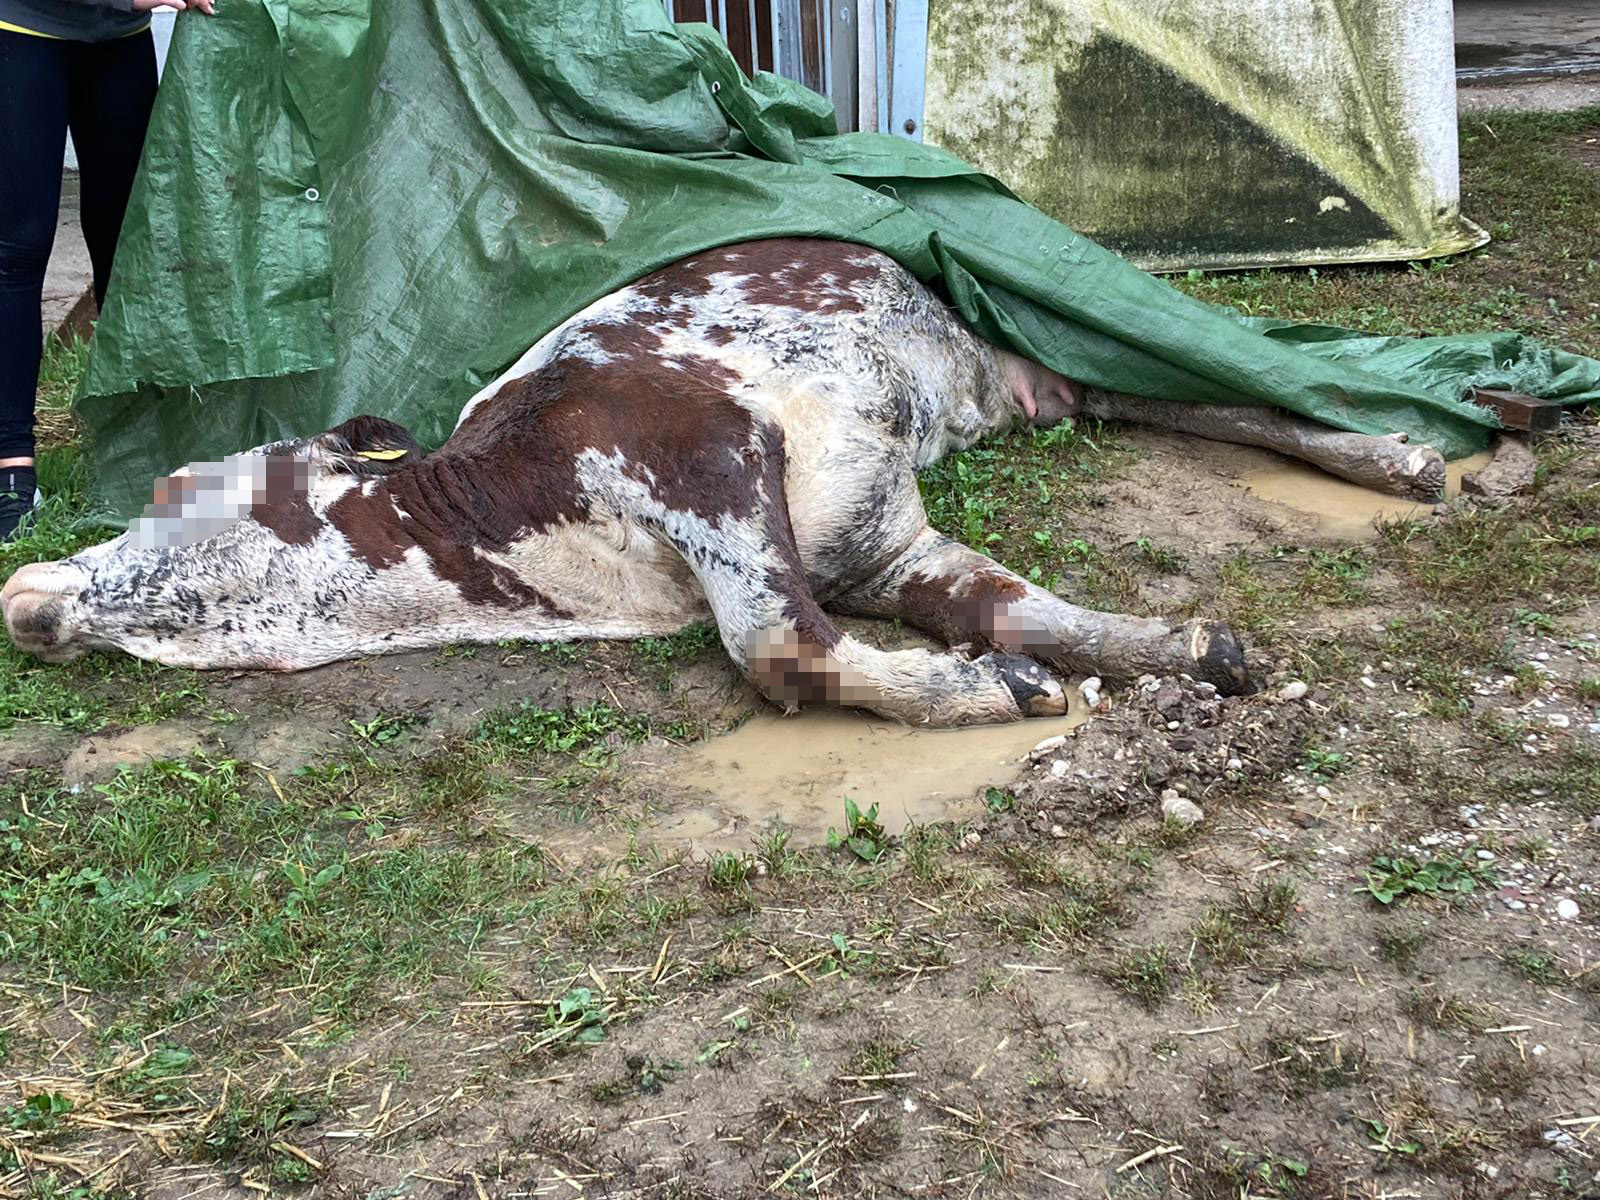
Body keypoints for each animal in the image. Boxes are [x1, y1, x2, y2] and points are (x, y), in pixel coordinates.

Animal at [2, 239, 1447, 727]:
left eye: (175, 483)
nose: (23, 597)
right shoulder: (878, 542)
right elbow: (1002, 606)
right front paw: (1171, 651)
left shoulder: (697, 442)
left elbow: (771, 644)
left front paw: (991, 693)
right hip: (1024, 375)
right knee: (1169, 393)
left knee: (1225, 373)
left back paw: (1400, 444)